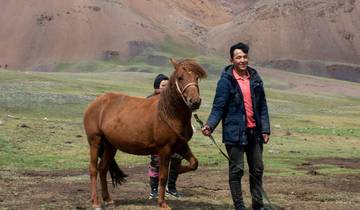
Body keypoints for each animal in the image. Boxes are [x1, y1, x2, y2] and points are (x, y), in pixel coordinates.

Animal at [83, 58, 207, 209]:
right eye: (180, 77)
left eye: (197, 78)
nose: (195, 102)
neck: (168, 114)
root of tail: (95, 103)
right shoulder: (164, 149)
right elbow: (163, 176)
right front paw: (162, 203)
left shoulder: (181, 145)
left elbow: (194, 163)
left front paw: (178, 170)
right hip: (95, 140)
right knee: (93, 169)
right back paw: (96, 202)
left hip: (110, 146)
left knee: (103, 168)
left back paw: (108, 199)